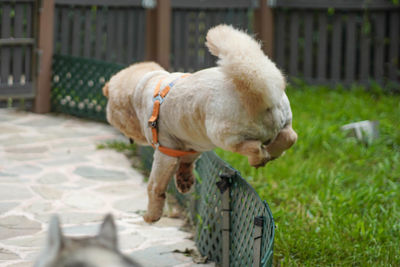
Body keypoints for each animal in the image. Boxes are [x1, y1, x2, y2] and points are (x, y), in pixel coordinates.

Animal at [103, 25, 296, 224]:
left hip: (222, 134)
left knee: (254, 148)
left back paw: (260, 158)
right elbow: (188, 162)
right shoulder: (192, 143)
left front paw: (151, 215)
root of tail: (260, 90)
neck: (142, 90)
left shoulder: (165, 151)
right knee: (289, 136)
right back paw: (274, 151)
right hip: (282, 117)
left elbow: (154, 186)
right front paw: (184, 181)